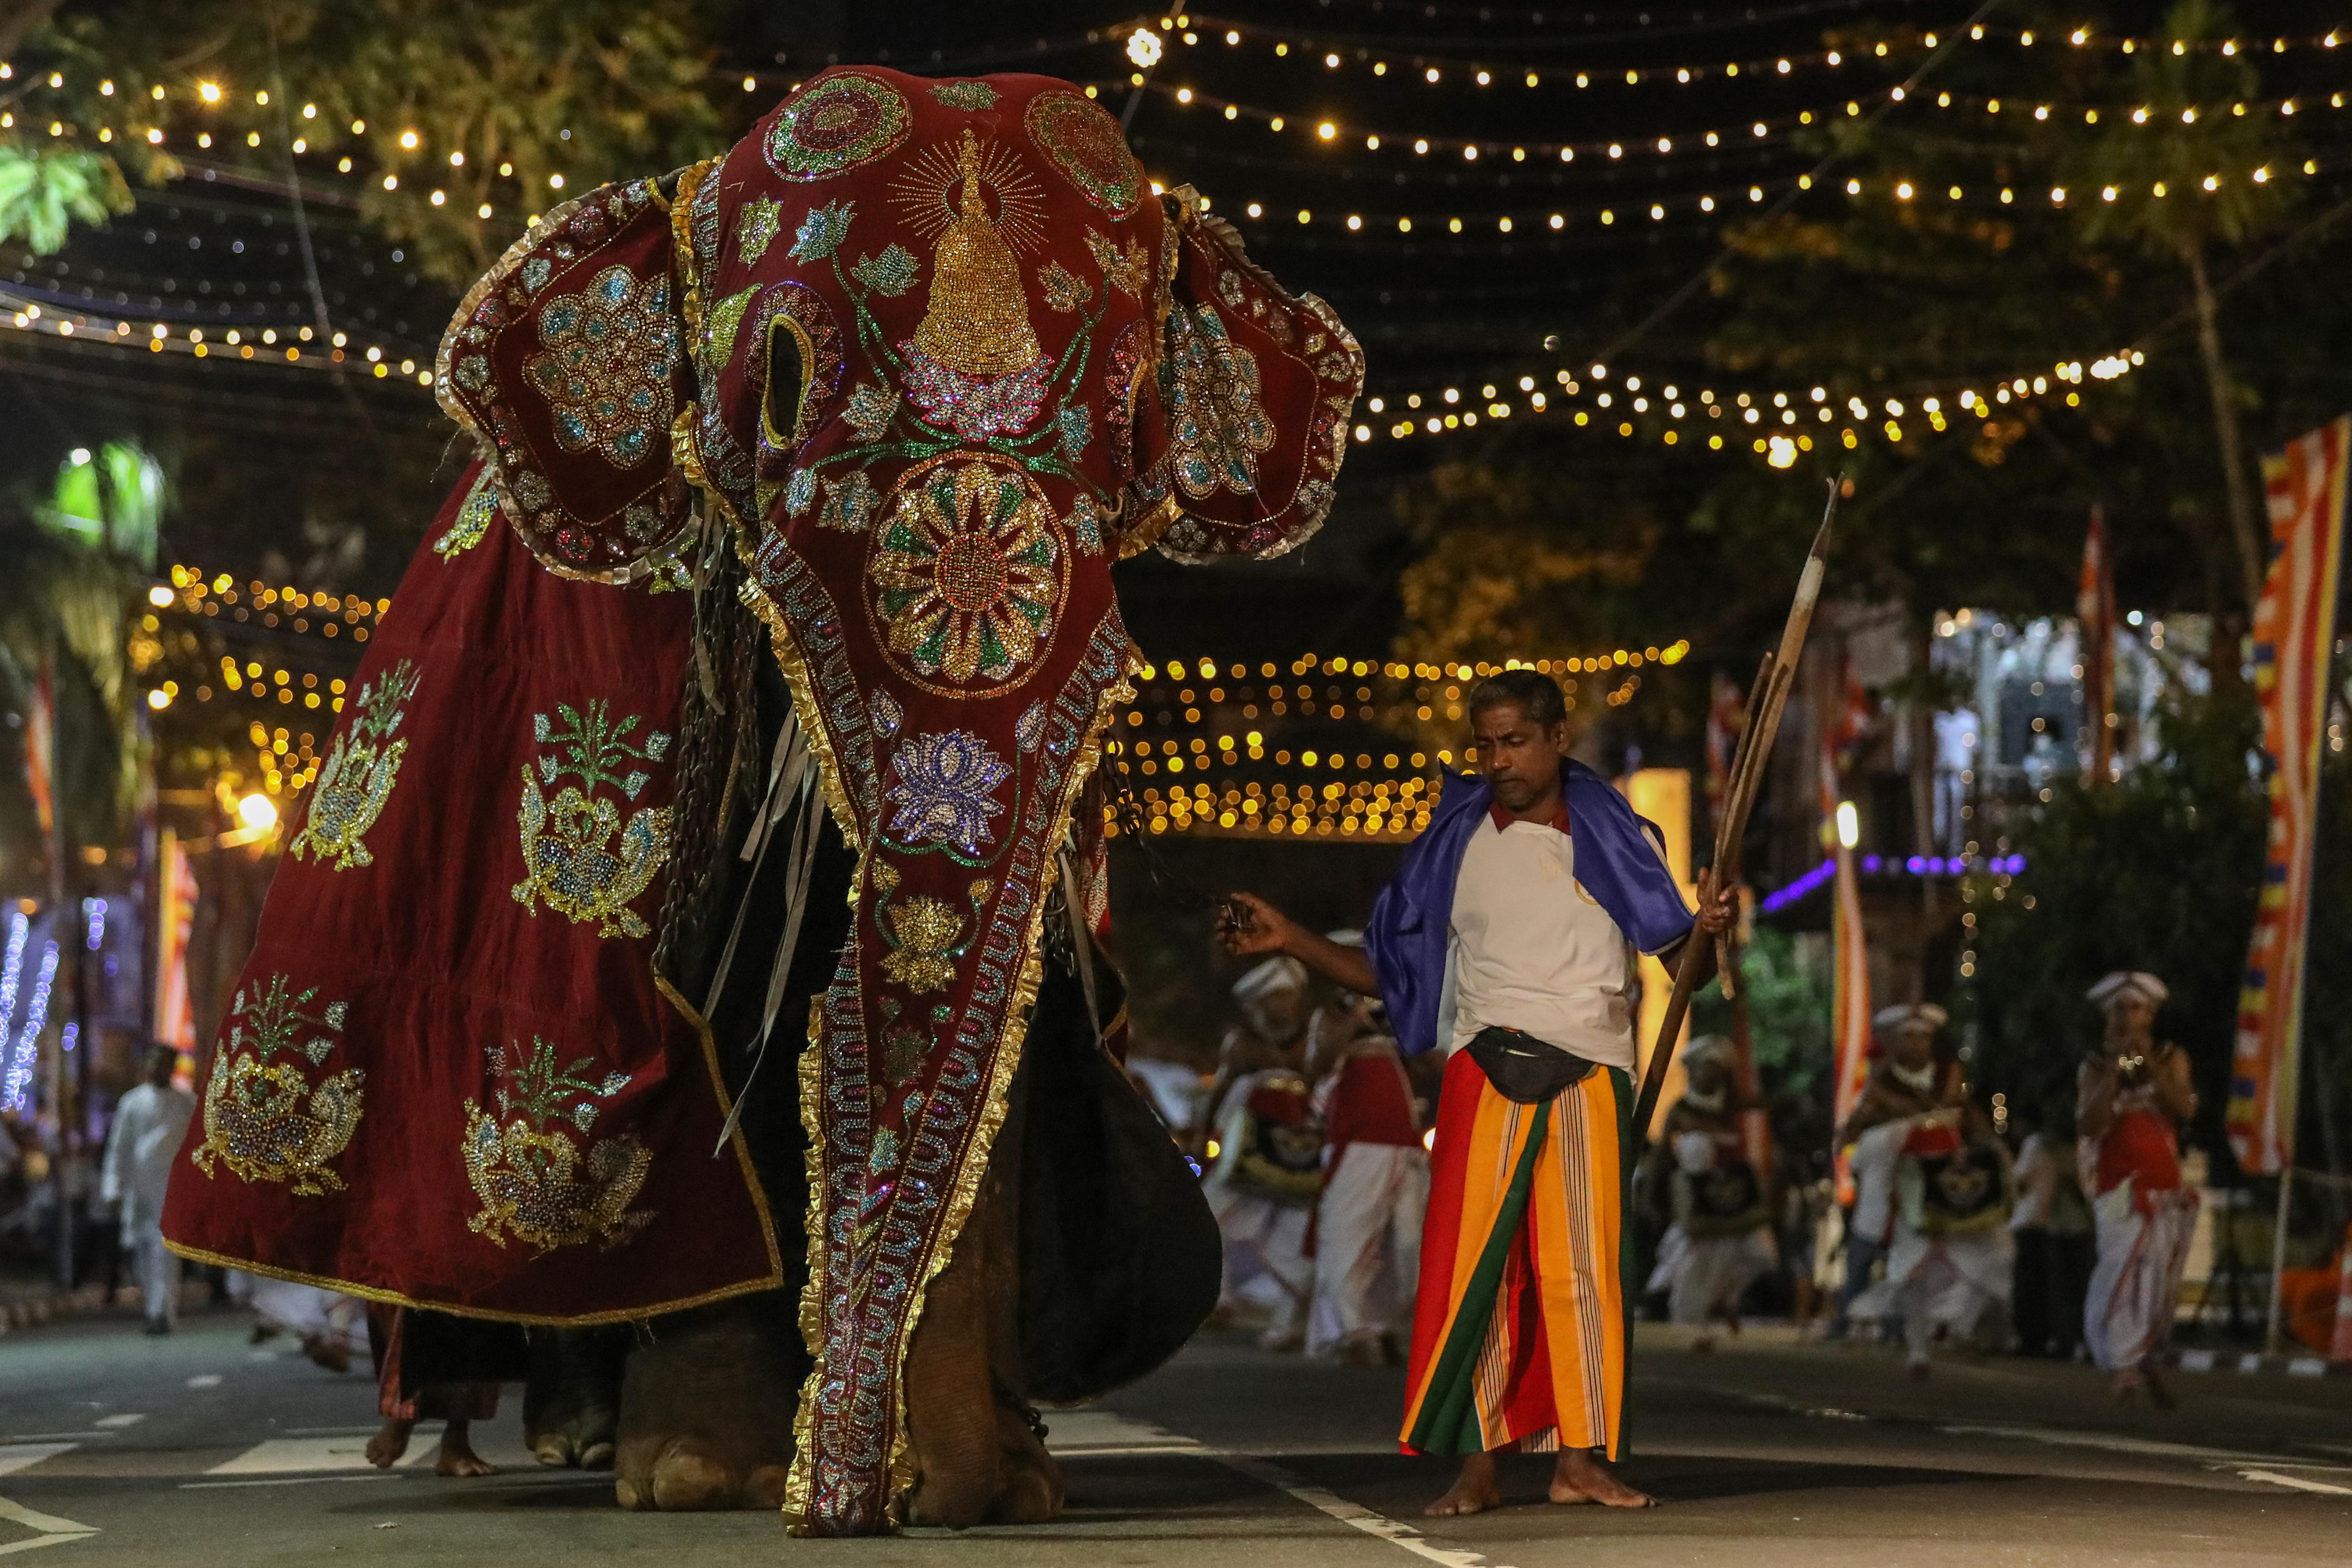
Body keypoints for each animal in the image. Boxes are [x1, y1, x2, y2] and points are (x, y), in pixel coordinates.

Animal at [161, 67, 1364, 1542]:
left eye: (1137, 405)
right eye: (776, 378)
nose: (850, 1500)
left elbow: (1013, 1021)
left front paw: (995, 1491)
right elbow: (716, 1015)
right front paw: (695, 1477)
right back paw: (582, 1437)